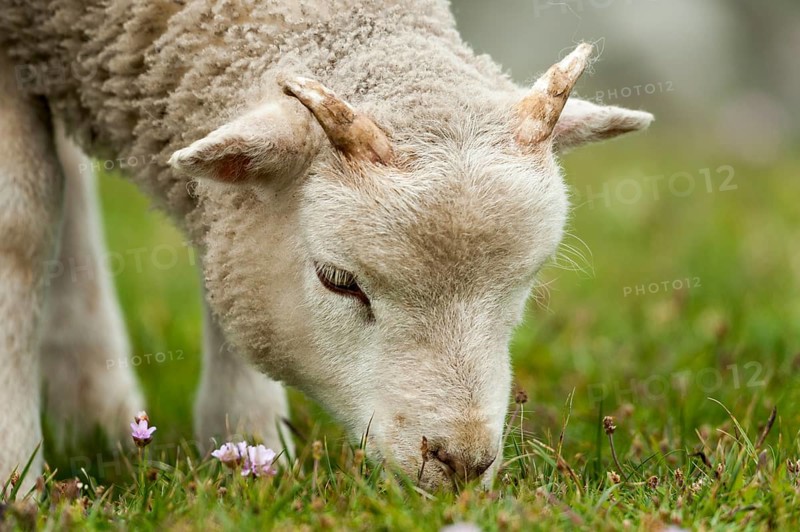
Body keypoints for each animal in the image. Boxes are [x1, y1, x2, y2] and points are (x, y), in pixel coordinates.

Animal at [0, 0, 652, 490]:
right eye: (338, 281)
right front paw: (18, 481)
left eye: (524, 284)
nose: (462, 463)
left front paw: (248, 456)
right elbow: (20, 224)